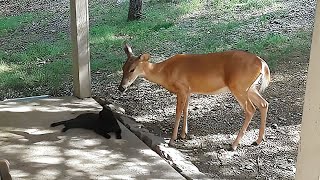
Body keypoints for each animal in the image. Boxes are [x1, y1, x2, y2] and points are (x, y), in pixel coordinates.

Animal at [117, 43, 270, 150]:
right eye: (123, 68)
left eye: (132, 69)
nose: (121, 87)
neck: (165, 72)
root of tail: (262, 63)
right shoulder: (188, 90)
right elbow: (186, 109)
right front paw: (183, 134)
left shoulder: (182, 88)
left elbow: (178, 111)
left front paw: (172, 139)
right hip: (250, 88)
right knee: (264, 104)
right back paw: (258, 140)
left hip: (239, 86)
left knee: (251, 109)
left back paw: (233, 145)